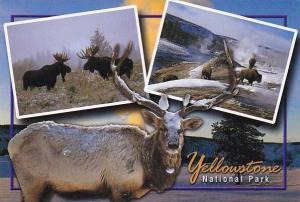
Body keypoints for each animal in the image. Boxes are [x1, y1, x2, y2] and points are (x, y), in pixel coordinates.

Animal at [8, 40, 238, 201]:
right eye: (161, 127)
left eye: (181, 129)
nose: (173, 145)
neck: (150, 173)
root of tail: (12, 144)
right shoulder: (119, 186)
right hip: (32, 183)